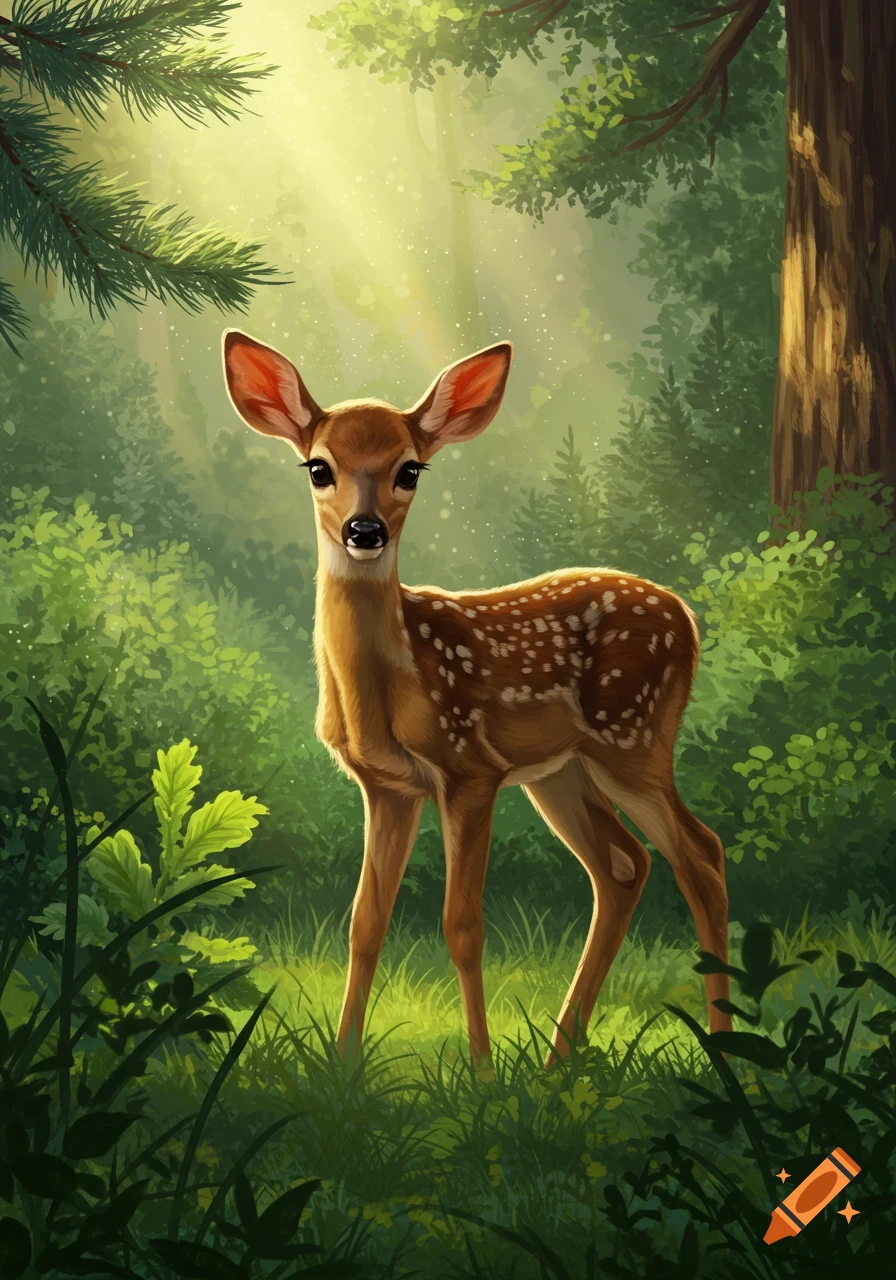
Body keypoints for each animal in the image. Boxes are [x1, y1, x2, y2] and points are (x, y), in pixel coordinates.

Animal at [222, 331, 731, 1070]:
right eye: (318, 467)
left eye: (410, 470)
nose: (364, 530)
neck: (390, 684)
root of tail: (686, 618)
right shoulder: (387, 786)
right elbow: (365, 922)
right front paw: (343, 1068)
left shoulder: (470, 770)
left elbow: (461, 925)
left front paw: (484, 1074)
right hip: (562, 771)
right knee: (624, 865)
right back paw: (556, 1060)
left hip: (632, 742)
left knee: (701, 854)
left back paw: (723, 1048)